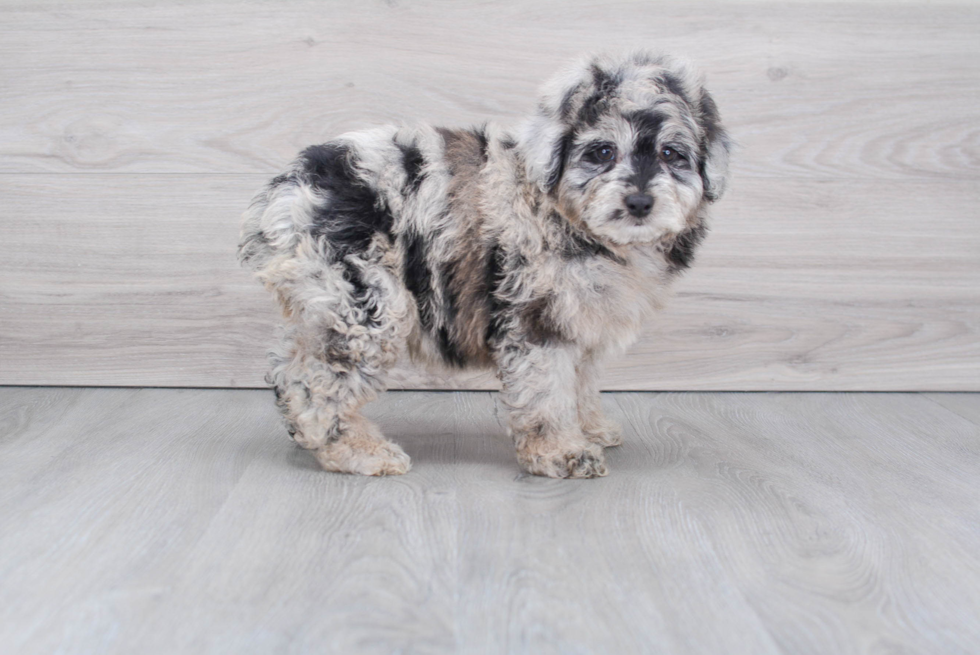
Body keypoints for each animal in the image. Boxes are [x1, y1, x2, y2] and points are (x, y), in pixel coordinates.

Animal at [237, 51, 728, 480]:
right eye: (603, 152)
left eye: (671, 154)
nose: (640, 202)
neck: (569, 215)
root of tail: (289, 189)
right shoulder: (536, 319)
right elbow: (548, 391)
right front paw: (561, 450)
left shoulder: (581, 320)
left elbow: (581, 382)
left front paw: (590, 428)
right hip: (364, 303)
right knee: (319, 381)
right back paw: (357, 451)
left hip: (321, 300)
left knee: (290, 367)